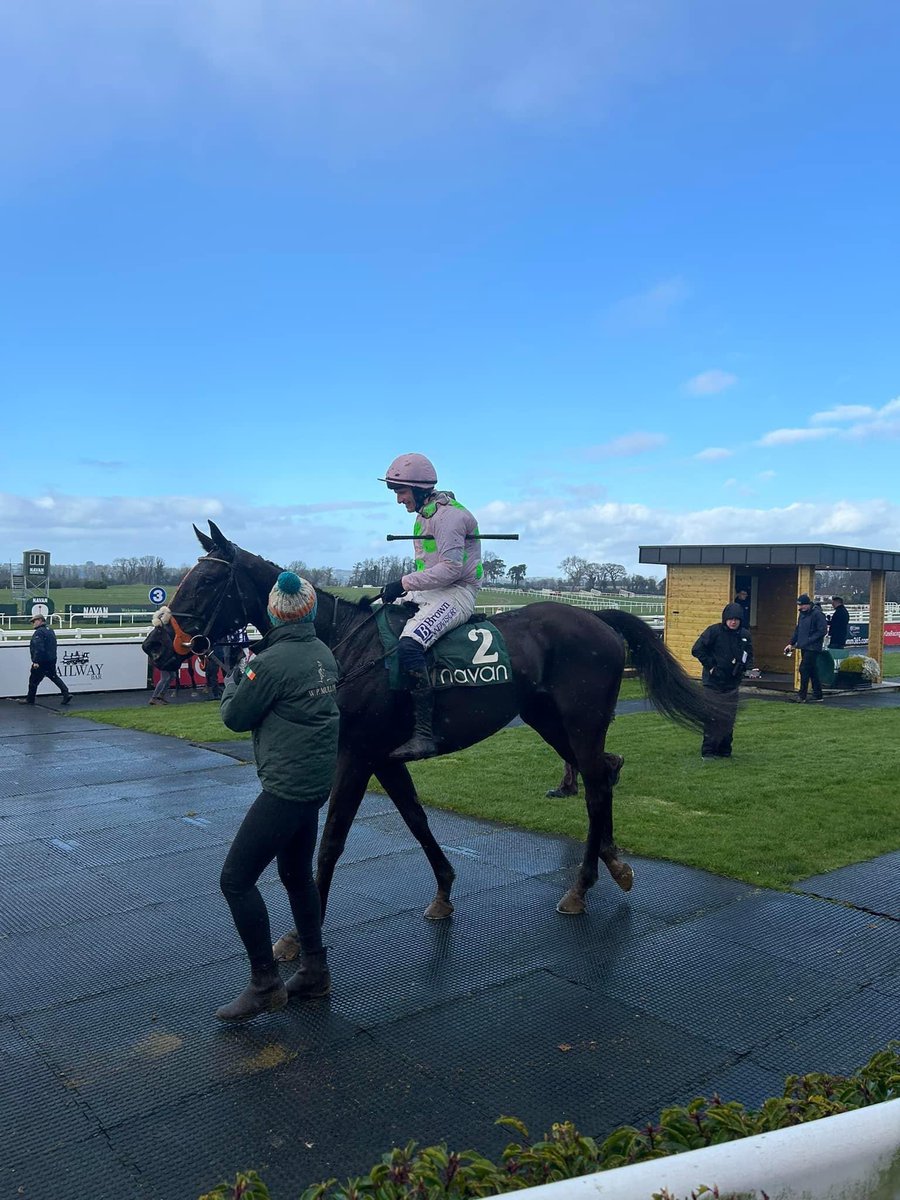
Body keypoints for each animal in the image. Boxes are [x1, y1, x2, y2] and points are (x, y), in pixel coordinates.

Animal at [146, 520, 724, 921]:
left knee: (597, 784)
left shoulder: (356, 754)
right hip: (546, 718)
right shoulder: (383, 757)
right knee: (604, 769)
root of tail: (596, 618)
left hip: (581, 721)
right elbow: (416, 819)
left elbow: (332, 840)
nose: (154, 644)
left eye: (204, 582)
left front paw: (299, 935)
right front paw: (444, 890)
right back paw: (613, 862)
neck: (341, 644)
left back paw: (580, 888)